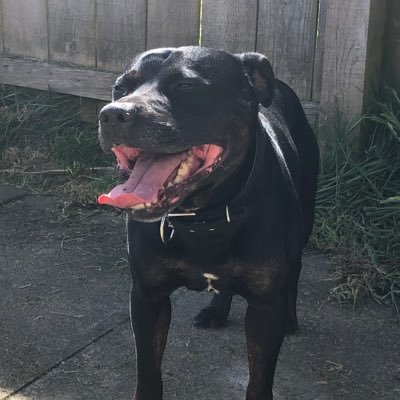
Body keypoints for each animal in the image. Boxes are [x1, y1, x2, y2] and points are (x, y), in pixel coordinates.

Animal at [97, 47, 318, 400]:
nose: (113, 114)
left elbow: (259, 380)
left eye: (186, 86)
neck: (204, 217)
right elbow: (148, 371)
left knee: (295, 270)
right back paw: (216, 310)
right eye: (120, 88)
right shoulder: (147, 296)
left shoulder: (266, 308)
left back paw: (291, 316)